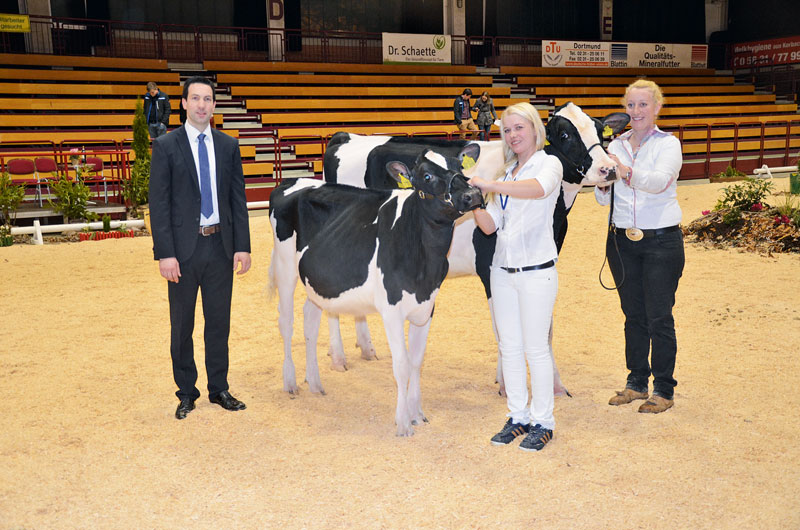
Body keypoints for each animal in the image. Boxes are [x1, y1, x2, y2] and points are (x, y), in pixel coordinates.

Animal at [268, 143, 482, 434]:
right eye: (426, 176)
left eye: (459, 167)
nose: (473, 195)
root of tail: (291, 182)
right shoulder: (391, 310)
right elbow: (401, 364)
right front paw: (403, 423)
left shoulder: (426, 307)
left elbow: (416, 361)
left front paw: (417, 413)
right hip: (285, 266)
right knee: (286, 321)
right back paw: (290, 381)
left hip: (316, 282)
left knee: (310, 319)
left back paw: (314, 382)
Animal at [320, 102, 632, 392]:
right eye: (565, 134)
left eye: (599, 130)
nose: (609, 169)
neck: (555, 210)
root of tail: (346, 136)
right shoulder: (489, 267)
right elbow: (503, 328)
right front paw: (506, 383)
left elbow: (546, 329)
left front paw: (555, 385)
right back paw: (338, 357)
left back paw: (367, 348)